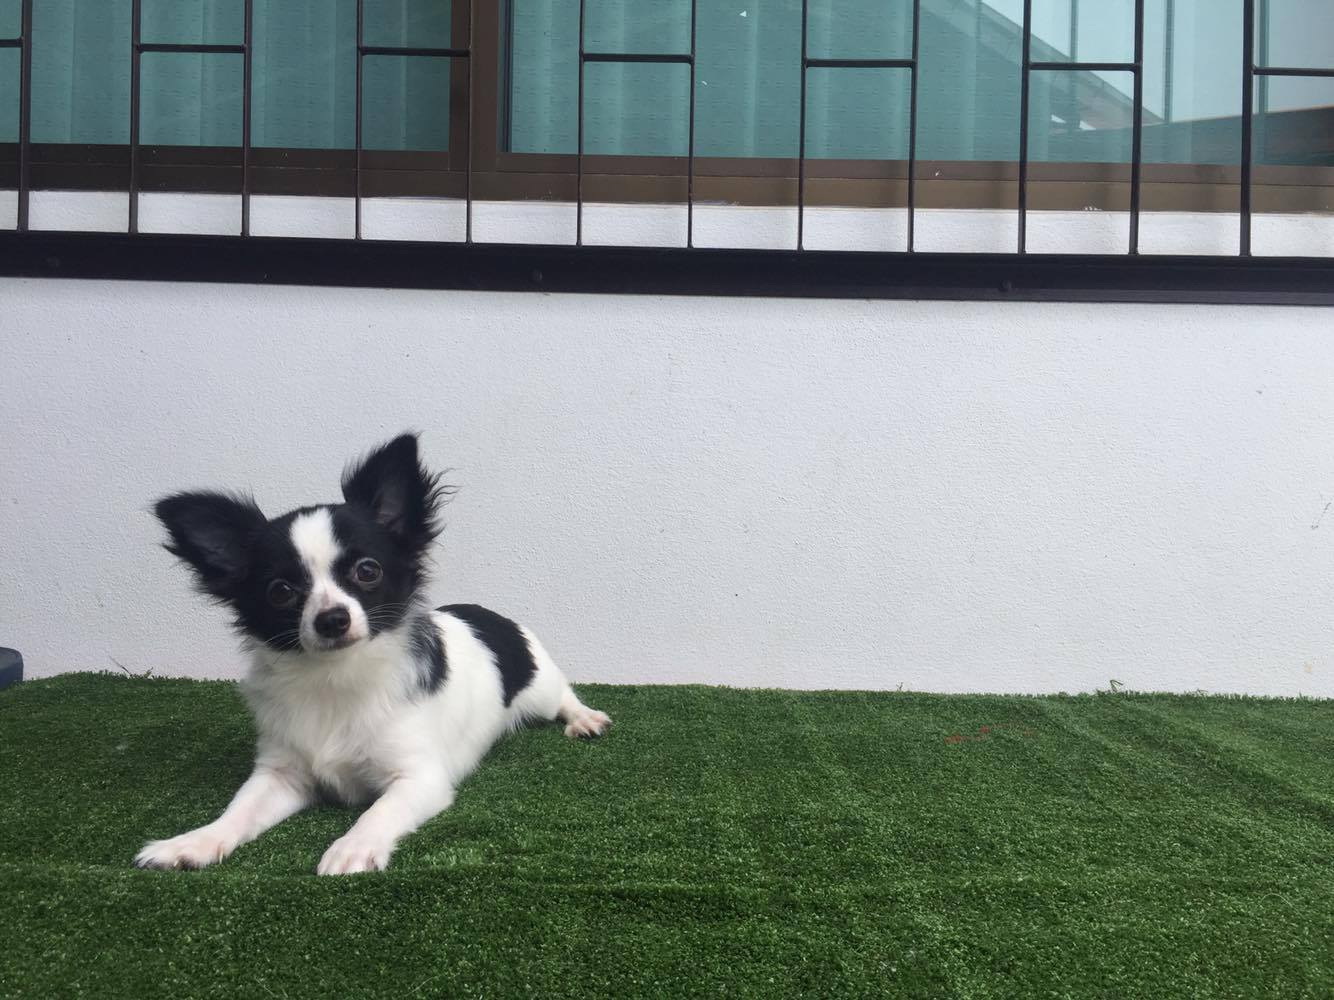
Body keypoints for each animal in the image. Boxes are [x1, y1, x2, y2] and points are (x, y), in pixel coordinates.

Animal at [135, 433, 610, 875]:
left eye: (368, 571)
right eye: (280, 591)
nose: (331, 619)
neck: (335, 677)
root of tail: (489, 614)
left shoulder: (419, 777)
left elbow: (378, 811)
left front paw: (352, 848)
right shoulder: (281, 773)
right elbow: (238, 811)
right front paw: (193, 841)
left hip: (539, 688)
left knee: (564, 695)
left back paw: (584, 718)